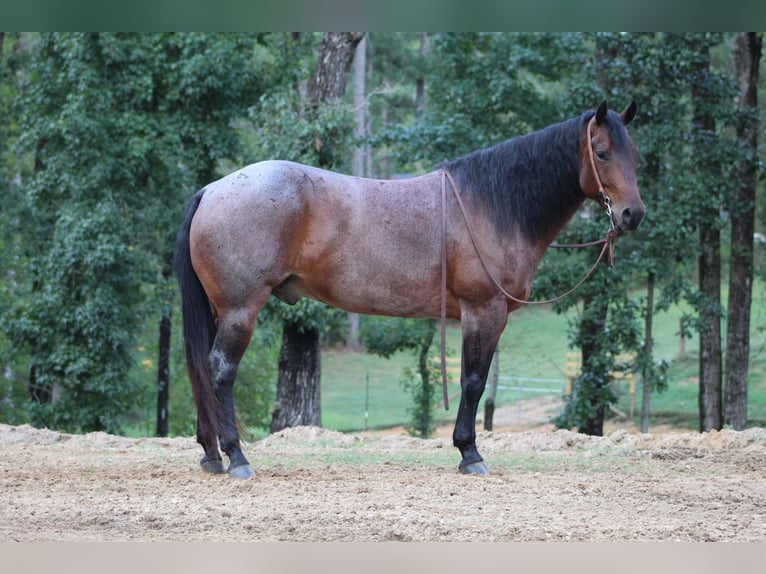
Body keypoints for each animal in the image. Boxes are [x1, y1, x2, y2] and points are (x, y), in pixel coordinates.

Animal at [176, 101, 648, 480]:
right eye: (601, 152)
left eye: (635, 155)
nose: (632, 215)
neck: (492, 206)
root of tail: (212, 189)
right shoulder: (483, 311)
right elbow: (473, 381)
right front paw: (470, 453)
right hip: (241, 309)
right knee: (220, 370)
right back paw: (237, 458)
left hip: (221, 310)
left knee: (201, 370)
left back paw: (212, 455)